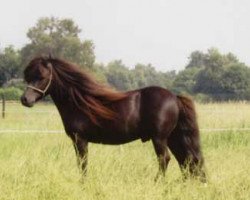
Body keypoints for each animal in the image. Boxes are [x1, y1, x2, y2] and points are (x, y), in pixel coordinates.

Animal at [21, 55, 205, 180]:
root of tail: (174, 97)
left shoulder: (80, 140)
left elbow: (83, 164)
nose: (25, 99)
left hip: (159, 138)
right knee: (186, 160)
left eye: (42, 77)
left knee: (165, 159)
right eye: (28, 77)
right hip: (172, 137)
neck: (78, 102)